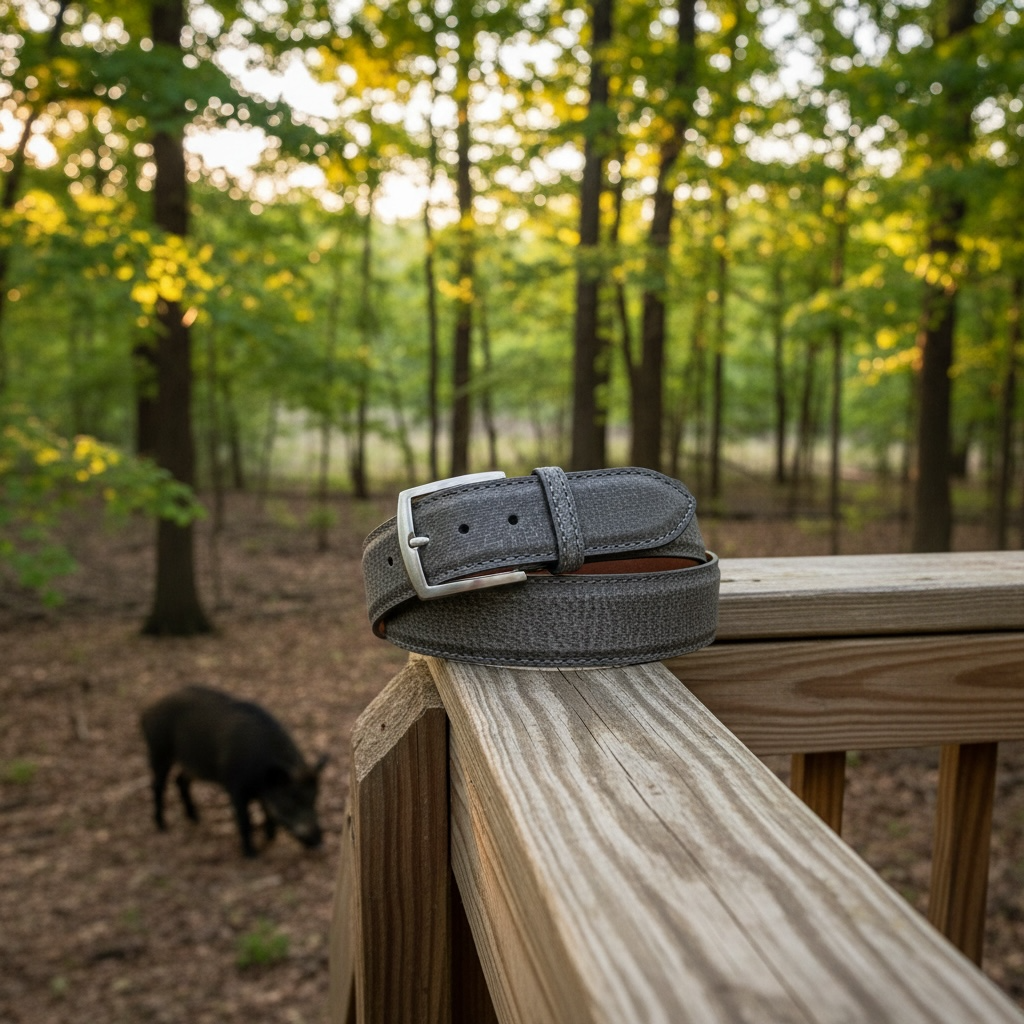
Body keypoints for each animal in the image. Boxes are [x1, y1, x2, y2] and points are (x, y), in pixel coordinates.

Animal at [140, 685, 327, 858]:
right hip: (159, 751)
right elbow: (245, 821)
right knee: (158, 785)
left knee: (180, 780)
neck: (260, 778)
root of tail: (146, 710)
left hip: (191, 764)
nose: (319, 841)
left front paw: (269, 840)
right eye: (292, 801)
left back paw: (195, 818)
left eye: (313, 799)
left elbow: (267, 814)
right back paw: (162, 827)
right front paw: (251, 854)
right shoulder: (236, 788)